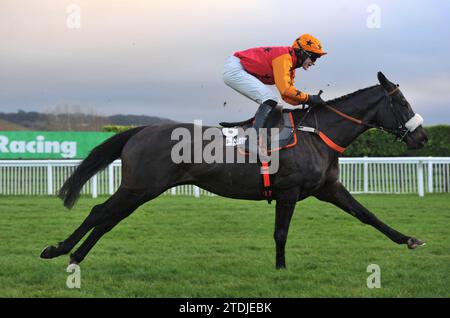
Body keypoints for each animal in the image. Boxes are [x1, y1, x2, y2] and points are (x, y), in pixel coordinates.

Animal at [40, 72, 428, 268]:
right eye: (402, 102)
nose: (422, 137)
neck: (315, 134)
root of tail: (142, 130)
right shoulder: (288, 190)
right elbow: (281, 233)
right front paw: (281, 270)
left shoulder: (328, 188)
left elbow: (367, 215)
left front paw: (409, 239)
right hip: (141, 187)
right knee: (100, 212)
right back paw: (59, 251)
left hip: (142, 190)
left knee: (109, 218)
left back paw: (74, 256)